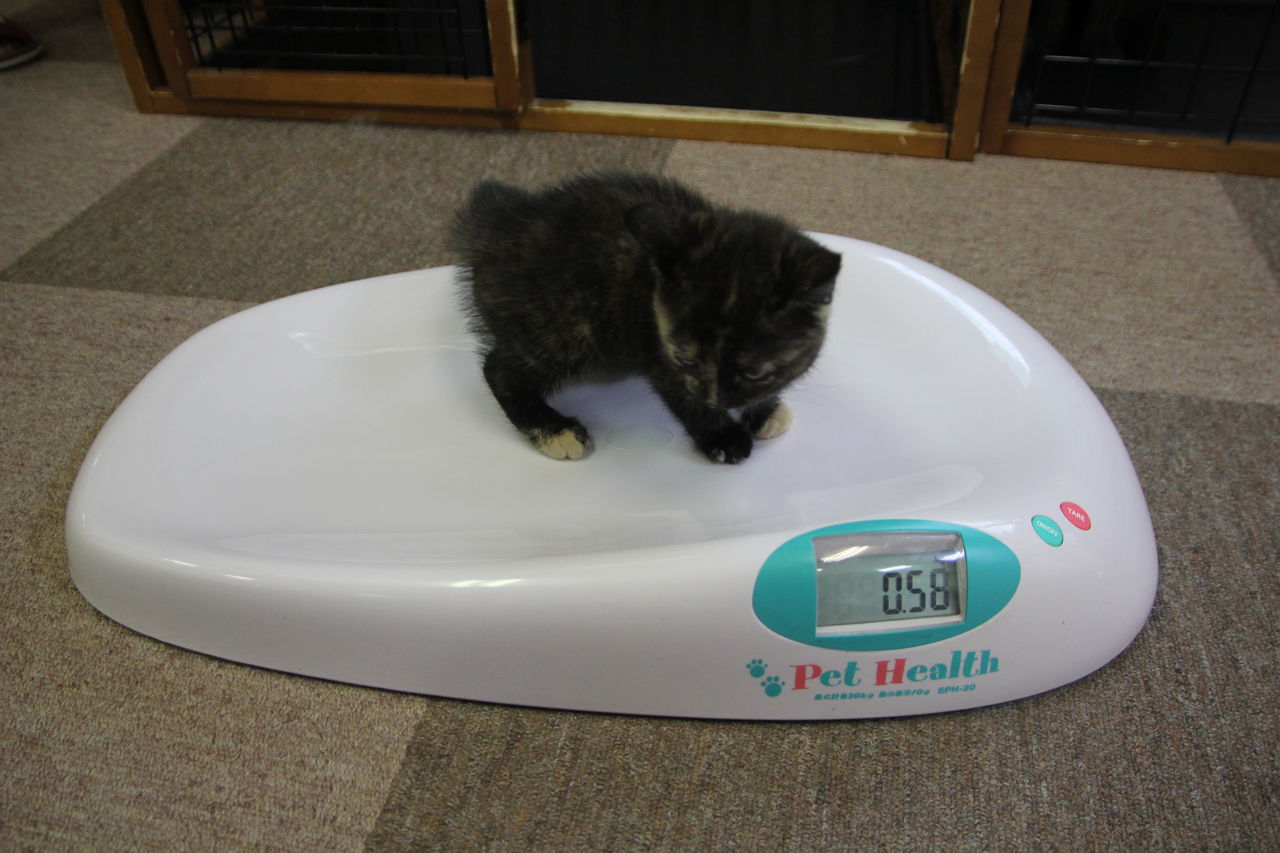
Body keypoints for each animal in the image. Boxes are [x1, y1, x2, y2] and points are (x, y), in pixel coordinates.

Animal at [448, 171, 841, 464]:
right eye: (685, 360)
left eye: (755, 372)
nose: (715, 399)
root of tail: (496, 234)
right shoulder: (661, 357)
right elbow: (681, 397)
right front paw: (722, 437)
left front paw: (764, 411)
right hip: (564, 328)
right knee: (499, 369)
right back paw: (553, 431)